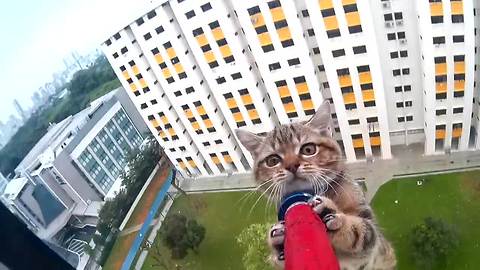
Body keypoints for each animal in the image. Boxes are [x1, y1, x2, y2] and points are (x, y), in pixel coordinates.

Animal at [234, 102, 396, 270]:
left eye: (308, 149)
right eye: (272, 161)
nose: (292, 165)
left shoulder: (370, 237)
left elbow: (361, 232)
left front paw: (330, 214)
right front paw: (279, 244)